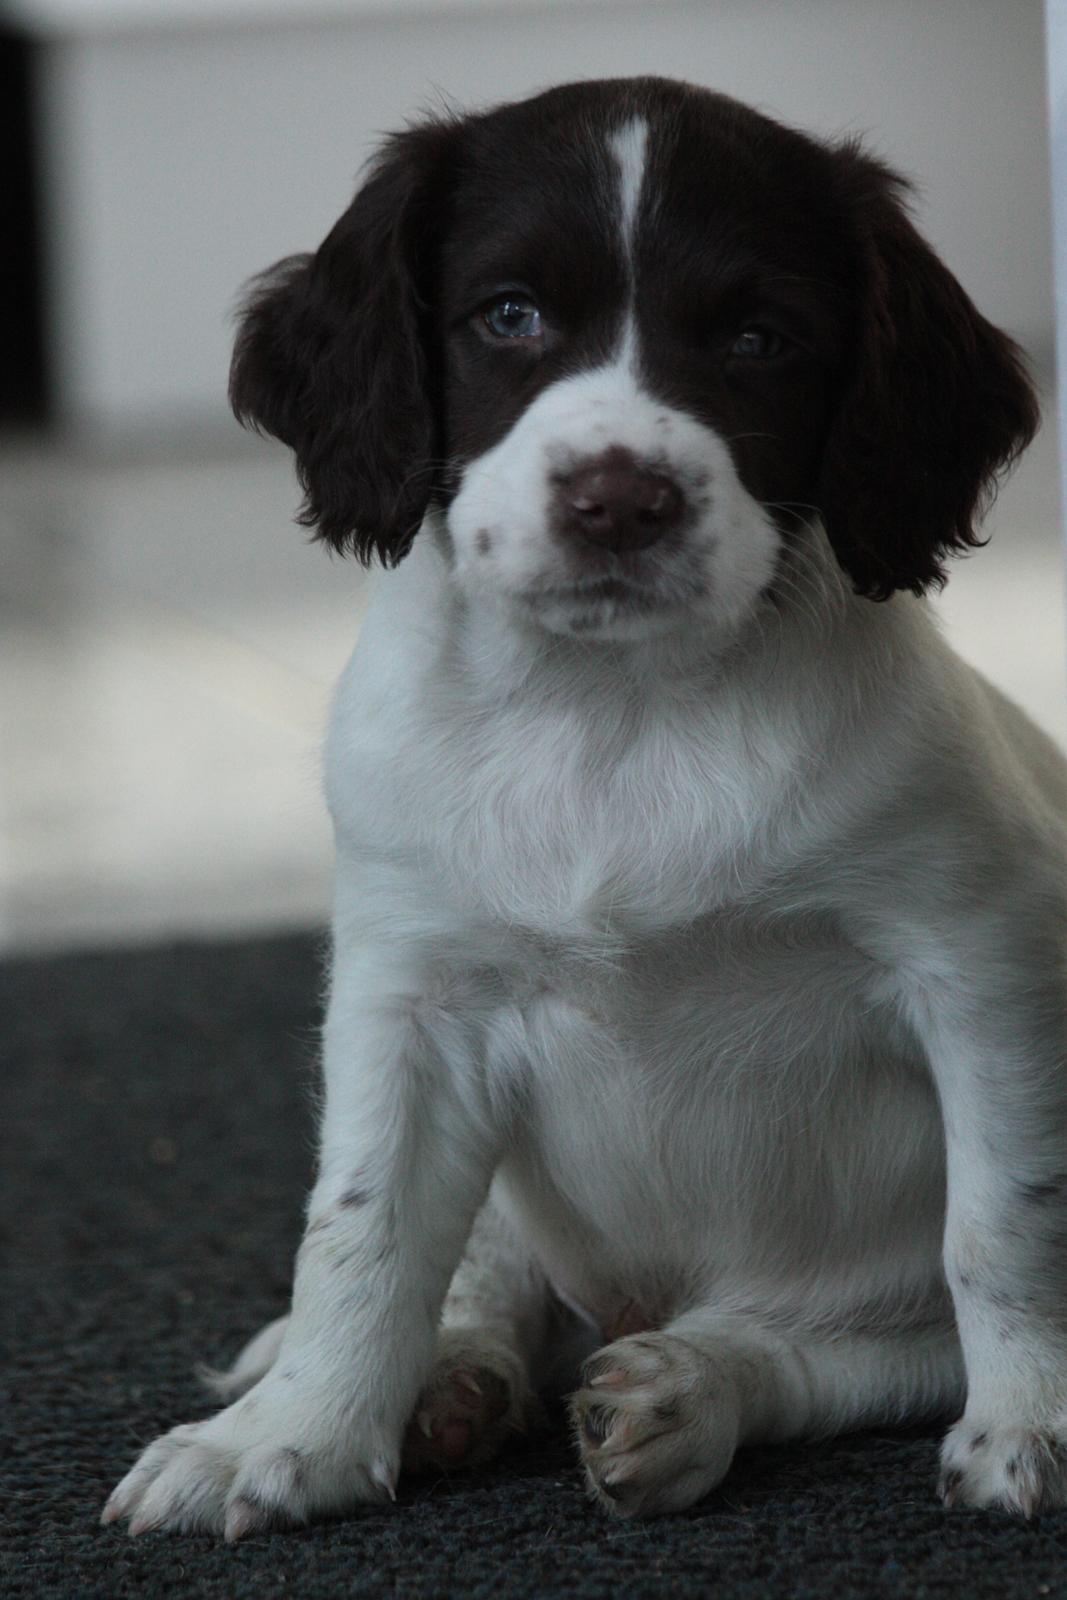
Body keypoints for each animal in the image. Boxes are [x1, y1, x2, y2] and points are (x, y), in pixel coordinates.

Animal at [102, 78, 1067, 1536]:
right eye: (509, 315)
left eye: (757, 338)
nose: (619, 500)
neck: (614, 710)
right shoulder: (409, 992)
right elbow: (362, 1227)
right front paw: (293, 1437)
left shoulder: (977, 958)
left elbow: (1000, 1224)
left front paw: (1033, 1421)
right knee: (491, 1276)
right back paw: (456, 1379)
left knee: (844, 1350)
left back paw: (685, 1392)